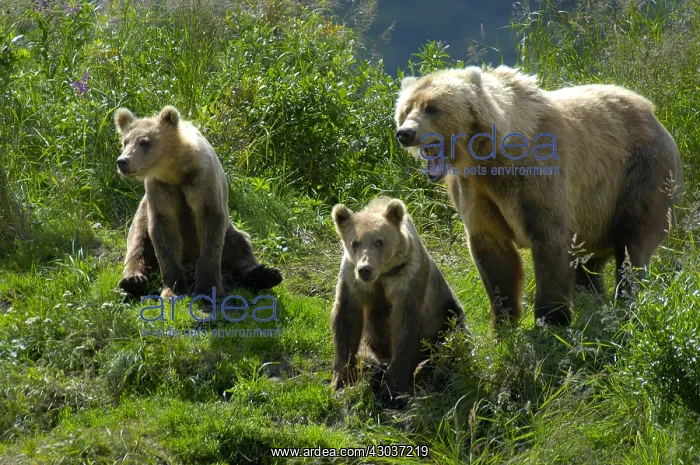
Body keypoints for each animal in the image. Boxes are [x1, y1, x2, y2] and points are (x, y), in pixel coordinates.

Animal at [114, 105, 283, 301]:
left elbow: (210, 222)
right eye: (125, 142)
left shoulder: (203, 180)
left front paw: (208, 287)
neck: (175, 170)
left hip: (231, 232)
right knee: (137, 242)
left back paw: (266, 275)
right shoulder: (161, 188)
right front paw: (173, 289)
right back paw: (132, 280)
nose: (122, 161)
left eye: (144, 142)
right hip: (141, 214)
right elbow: (163, 229)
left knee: (241, 246)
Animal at [330, 196, 464, 407]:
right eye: (355, 243)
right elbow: (346, 319)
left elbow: (405, 325)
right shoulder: (351, 277)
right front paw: (342, 383)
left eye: (379, 241)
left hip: (448, 312)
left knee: (453, 341)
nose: (365, 269)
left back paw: (428, 367)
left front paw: (395, 391)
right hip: (371, 344)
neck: (384, 272)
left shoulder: (407, 276)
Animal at [394, 66, 684, 327]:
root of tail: (650, 110)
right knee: (590, 259)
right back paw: (591, 296)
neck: (487, 159)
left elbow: (549, 240)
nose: (405, 133)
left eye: (432, 107)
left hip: (639, 172)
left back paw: (626, 298)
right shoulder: (475, 192)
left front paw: (551, 319)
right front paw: (503, 321)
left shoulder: (537, 176)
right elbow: (492, 253)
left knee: (633, 239)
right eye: (406, 109)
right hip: (596, 210)